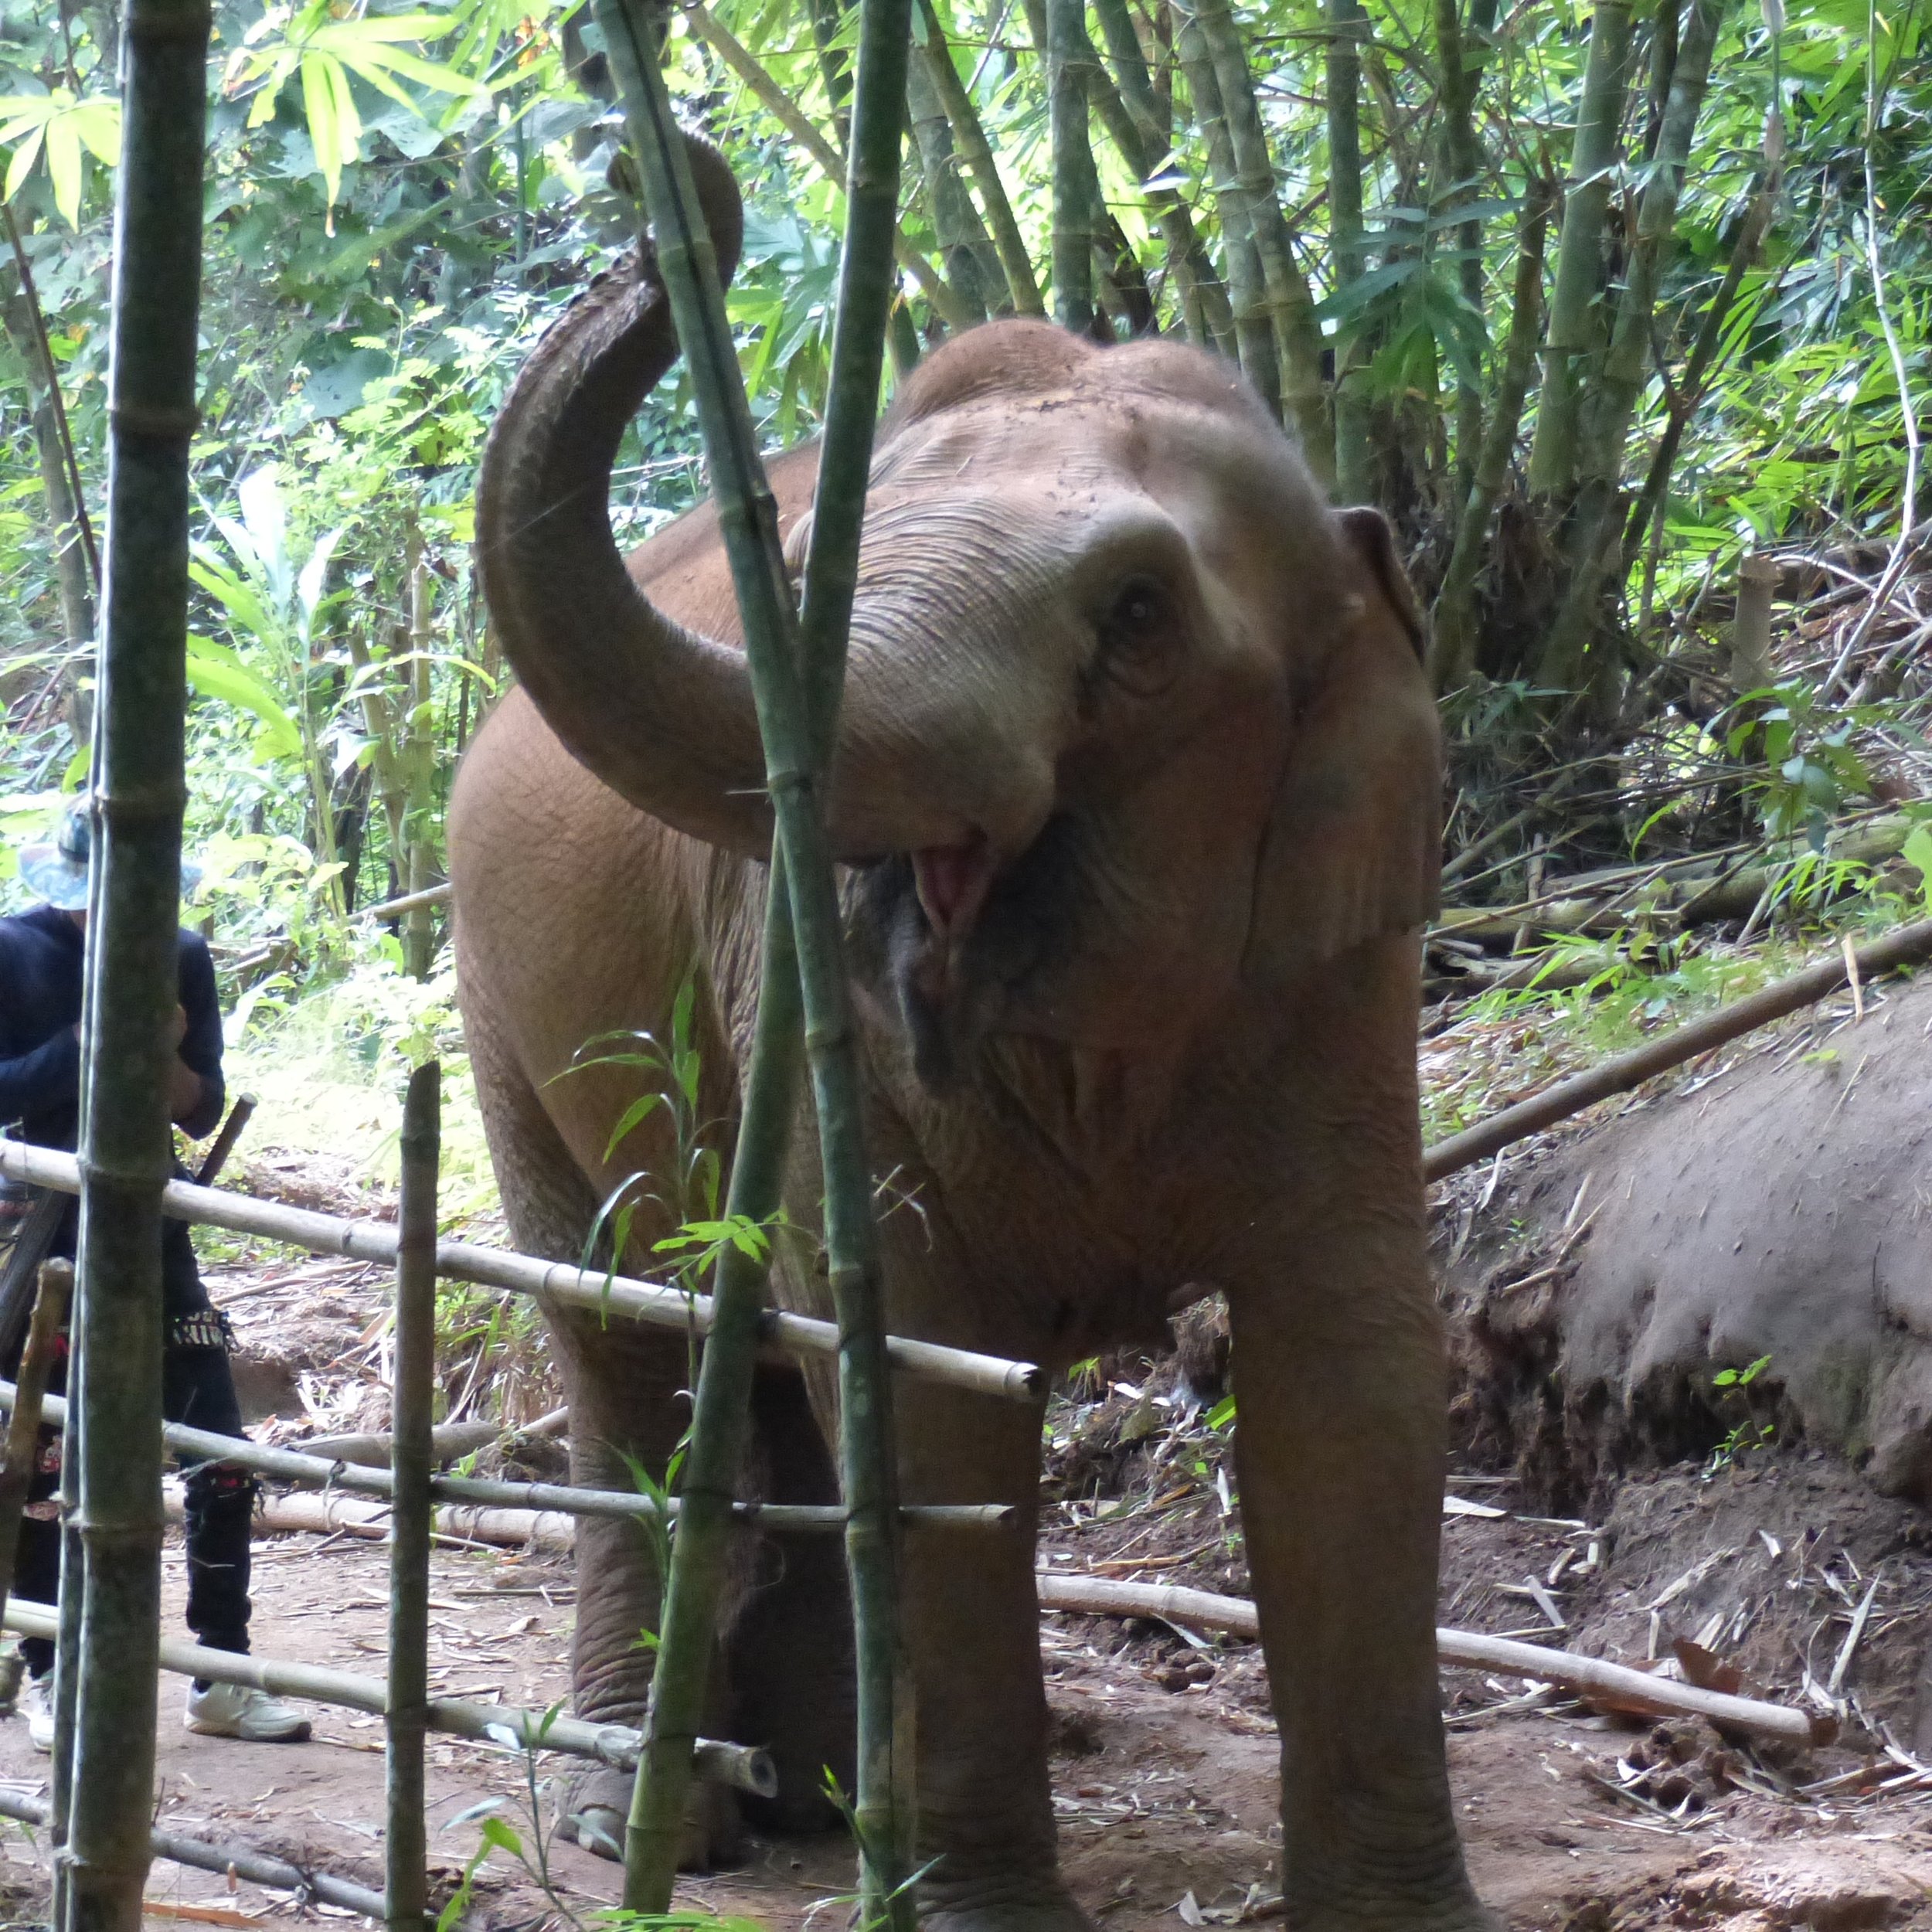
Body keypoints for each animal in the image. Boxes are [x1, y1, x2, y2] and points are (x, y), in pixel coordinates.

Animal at [448, 135, 1491, 1932]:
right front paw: (975, 1907)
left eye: (1136, 613)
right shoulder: (797, 992)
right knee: (623, 1352)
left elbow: (1351, 1375)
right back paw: (658, 1818)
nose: (672, 169)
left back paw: (809, 1793)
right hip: (505, 1029)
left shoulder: (1345, 966)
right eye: (798, 582)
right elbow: (922, 1392)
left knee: (758, 1388)